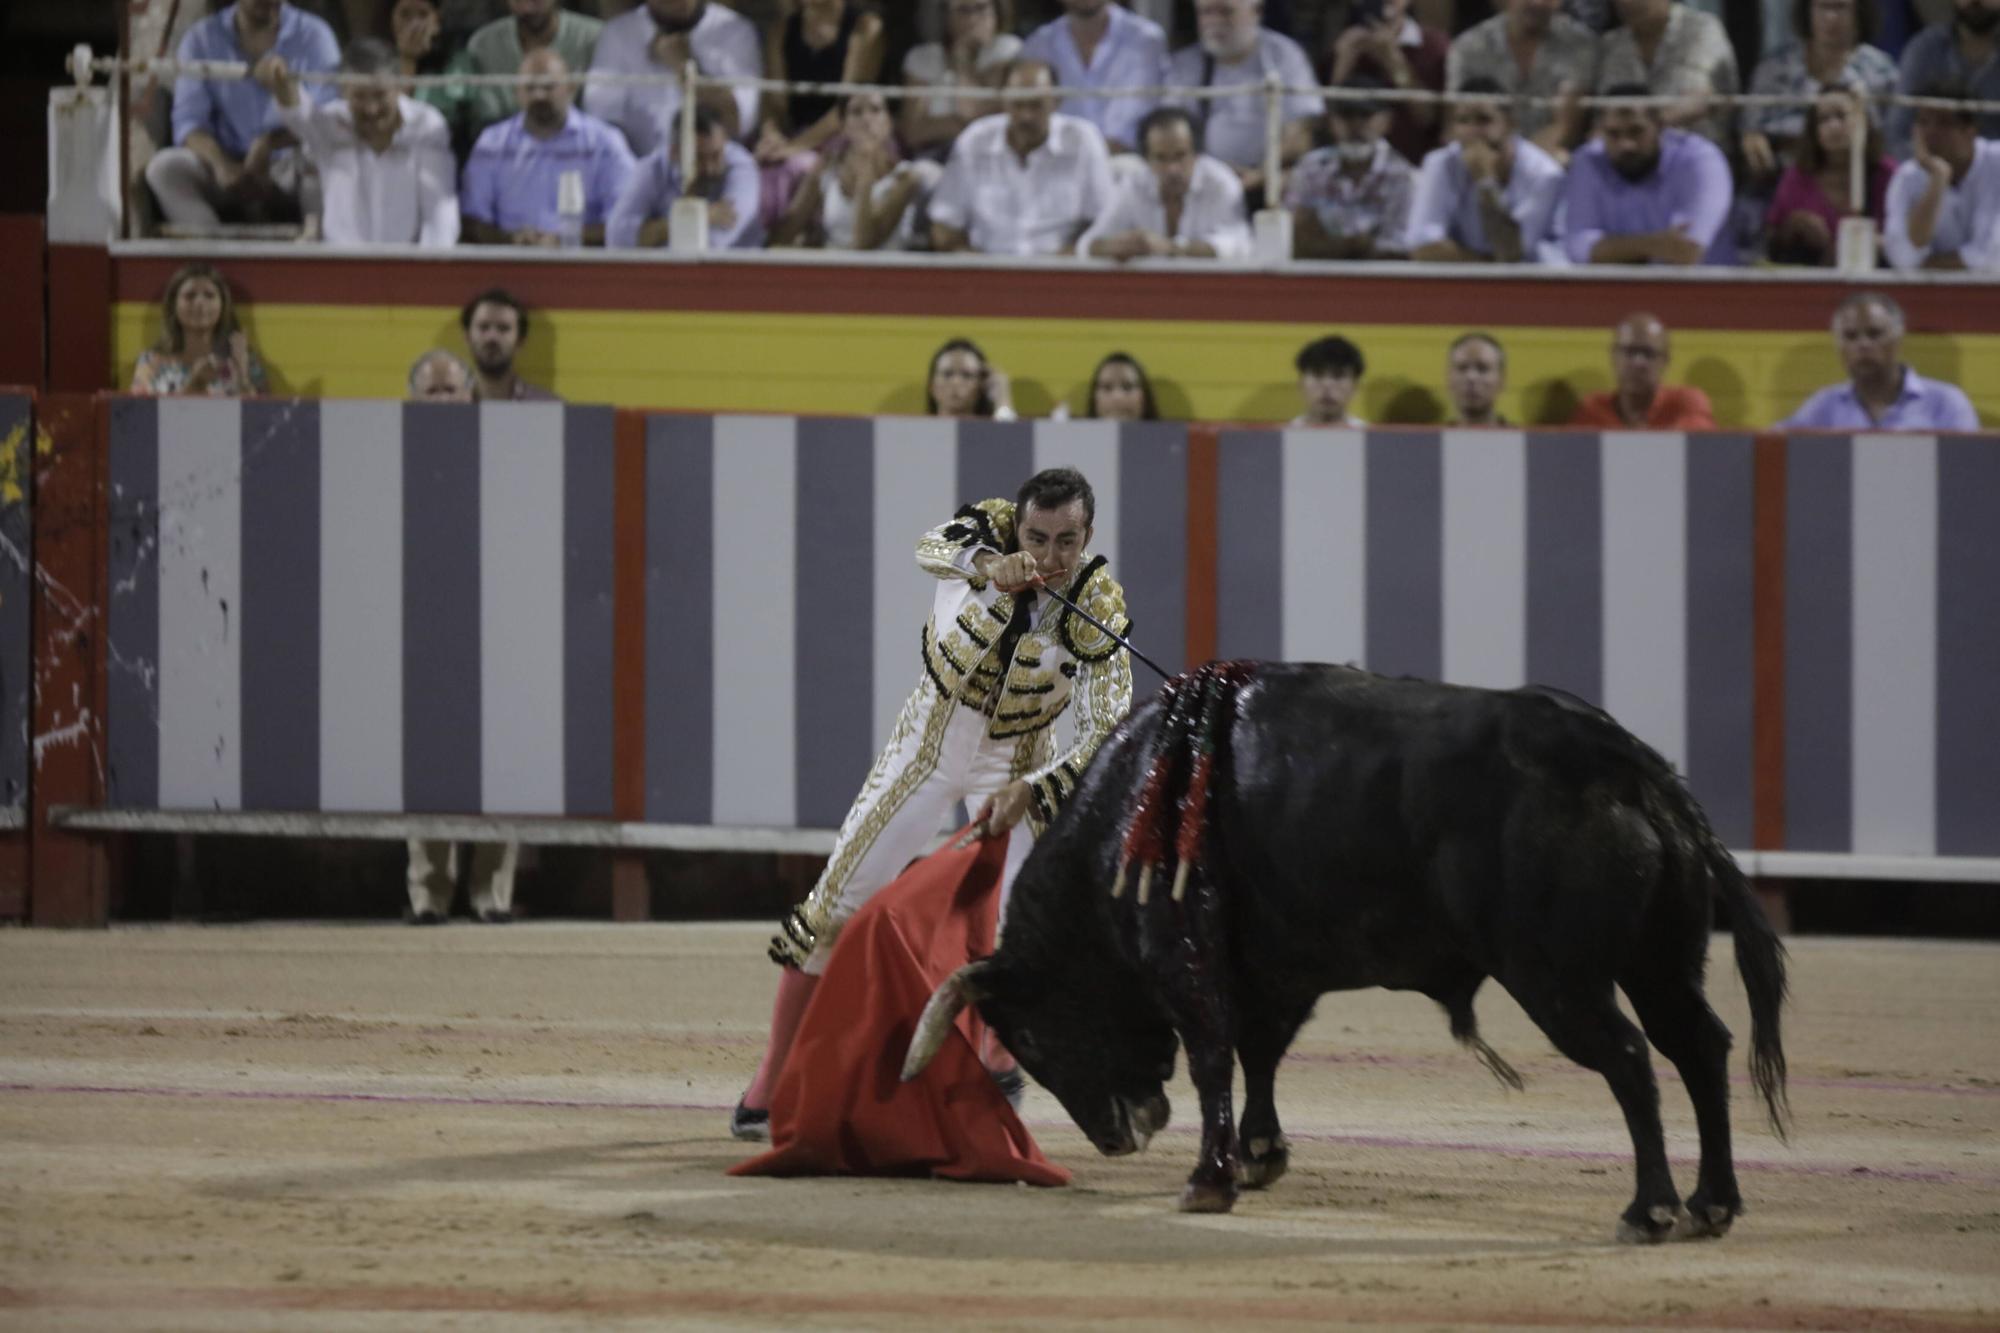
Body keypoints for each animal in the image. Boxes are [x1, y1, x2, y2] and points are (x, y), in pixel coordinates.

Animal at [900, 660, 1792, 1240]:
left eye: (1031, 1034)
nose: (1119, 1137)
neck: (1130, 811)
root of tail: (1627, 762)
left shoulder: (1186, 958)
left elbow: (1215, 1055)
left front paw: (1210, 1180)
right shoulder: (1278, 971)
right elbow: (1260, 1052)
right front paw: (1259, 1154)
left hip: (1558, 978)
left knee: (1634, 1059)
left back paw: (1651, 1209)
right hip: (1659, 962)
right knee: (1700, 1046)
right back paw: (1713, 1203)